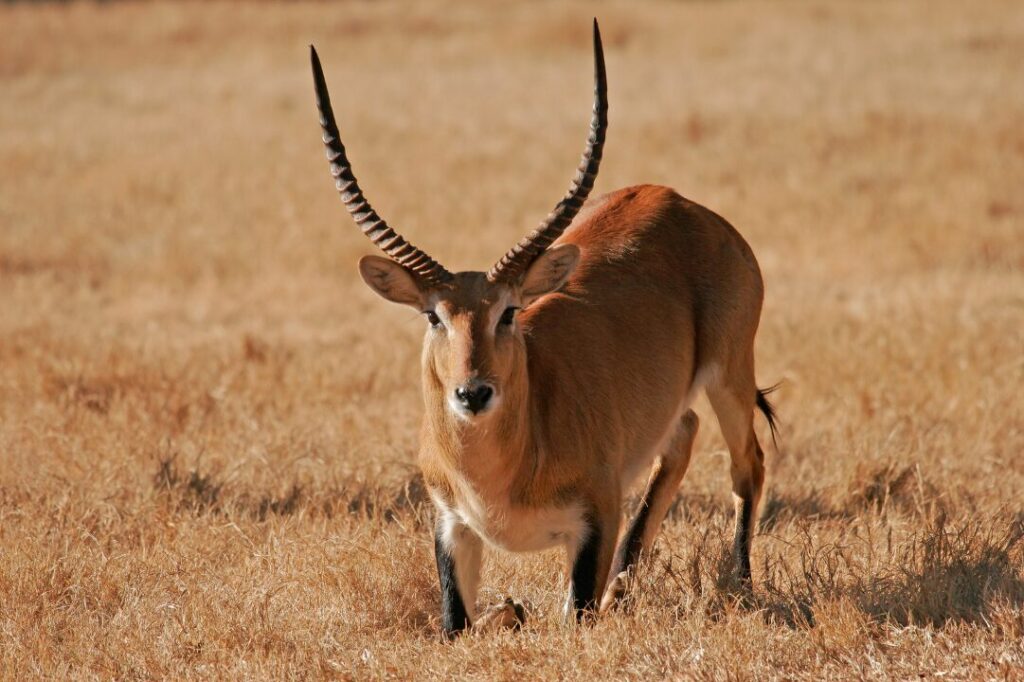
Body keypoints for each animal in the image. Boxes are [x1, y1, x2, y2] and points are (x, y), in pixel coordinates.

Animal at [310, 20, 777, 637]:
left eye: (508, 311)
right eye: (434, 314)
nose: (473, 393)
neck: (498, 479)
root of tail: (675, 200)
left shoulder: (595, 517)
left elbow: (573, 614)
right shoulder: (451, 525)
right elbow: (456, 626)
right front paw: (510, 609)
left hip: (731, 375)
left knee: (748, 462)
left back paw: (738, 585)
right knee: (683, 434)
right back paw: (623, 590)